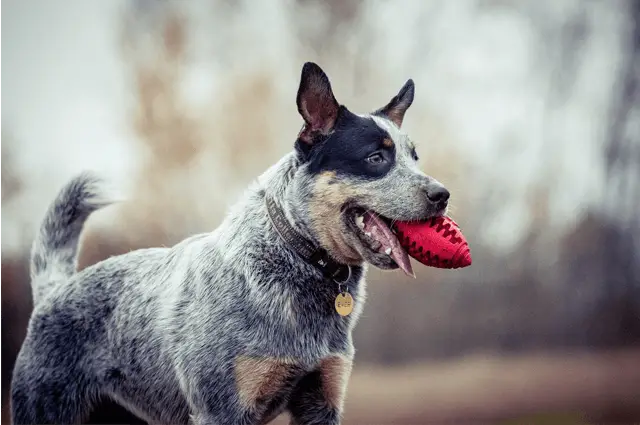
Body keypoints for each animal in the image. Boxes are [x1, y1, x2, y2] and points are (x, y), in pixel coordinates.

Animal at [10, 61, 450, 422]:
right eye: (376, 157)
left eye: (414, 157)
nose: (443, 195)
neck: (297, 260)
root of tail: (54, 292)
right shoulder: (222, 408)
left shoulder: (322, 397)